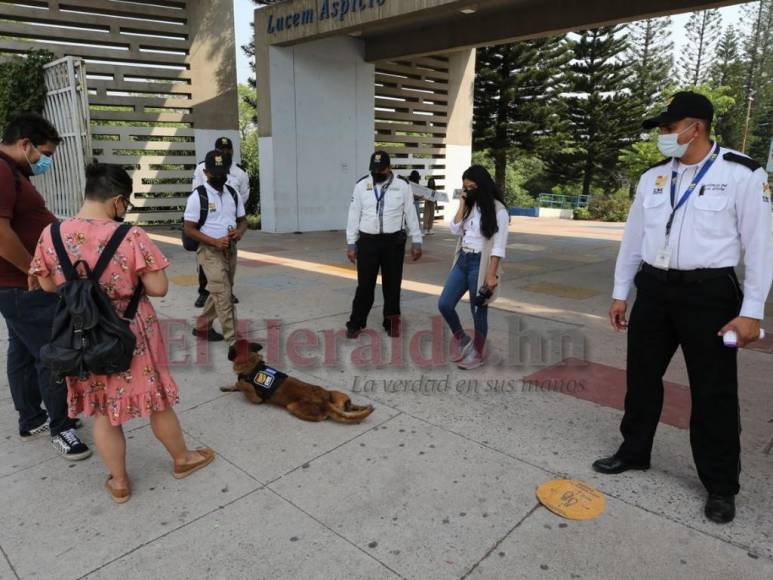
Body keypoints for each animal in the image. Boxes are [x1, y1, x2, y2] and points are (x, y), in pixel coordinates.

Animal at [220, 338, 374, 424]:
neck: (251, 363)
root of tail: (324, 401)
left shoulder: (255, 398)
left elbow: (241, 384)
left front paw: (236, 384)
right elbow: (235, 384)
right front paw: (227, 387)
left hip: (292, 406)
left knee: (322, 417)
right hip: (335, 394)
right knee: (347, 404)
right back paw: (355, 406)